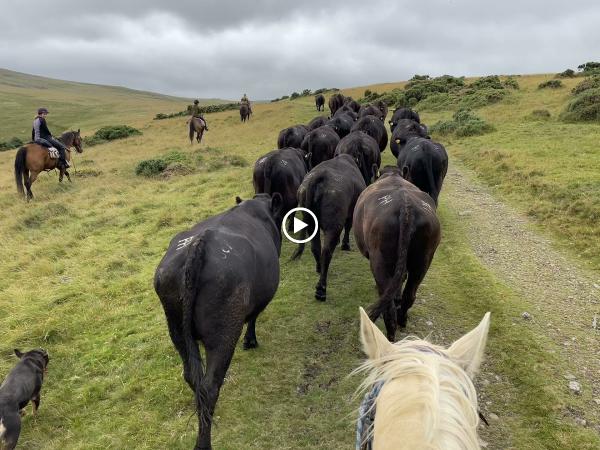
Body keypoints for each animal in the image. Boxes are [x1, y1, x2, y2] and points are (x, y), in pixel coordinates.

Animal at [152, 194, 284, 450]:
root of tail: (198, 243)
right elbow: (254, 316)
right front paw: (250, 341)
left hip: (177, 329)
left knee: (193, 377)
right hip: (223, 333)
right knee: (210, 385)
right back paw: (203, 443)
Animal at [290, 153, 366, 300]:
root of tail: (319, 177)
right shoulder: (351, 211)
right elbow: (348, 226)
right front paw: (345, 244)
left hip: (310, 220)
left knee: (316, 247)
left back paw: (319, 268)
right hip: (333, 225)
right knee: (326, 252)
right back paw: (321, 289)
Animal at [352, 167, 440, 340]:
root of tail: (406, 206)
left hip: (380, 260)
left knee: (388, 306)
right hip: (423, 260)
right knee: (409, 294)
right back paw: (402, 319)